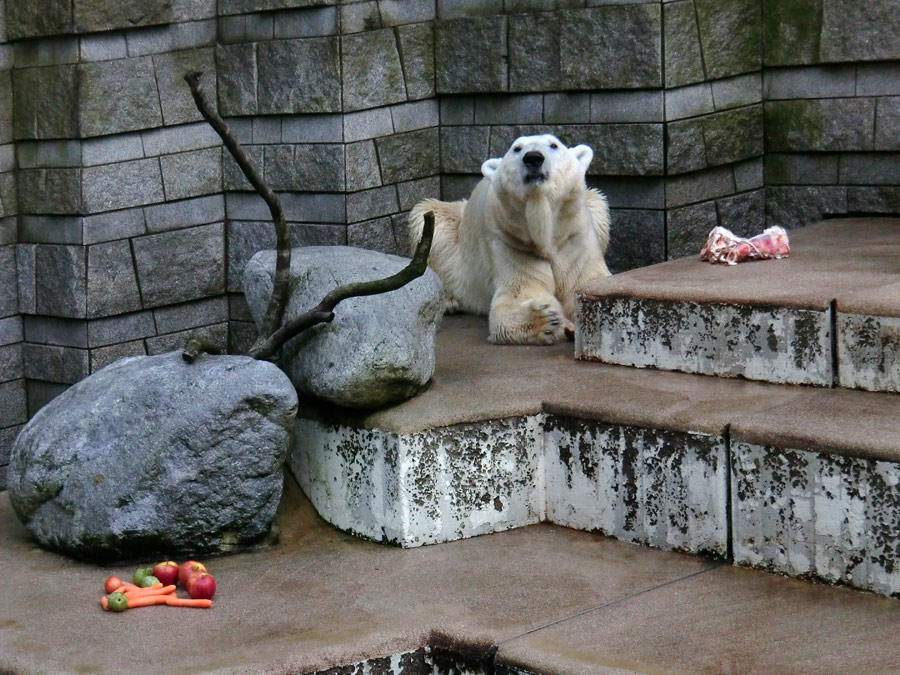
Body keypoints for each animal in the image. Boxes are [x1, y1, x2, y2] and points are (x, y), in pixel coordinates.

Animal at [408, 133, 612, 344]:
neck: (544, 233)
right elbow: (521, 292)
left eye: (554, 145)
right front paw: (545, 319)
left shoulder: (572, 236)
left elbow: (585, 283)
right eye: (517, 148)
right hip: (453, 232)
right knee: (429, 219)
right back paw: (449, 301)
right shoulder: (511, 241)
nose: (533, 158)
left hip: (594, 207)